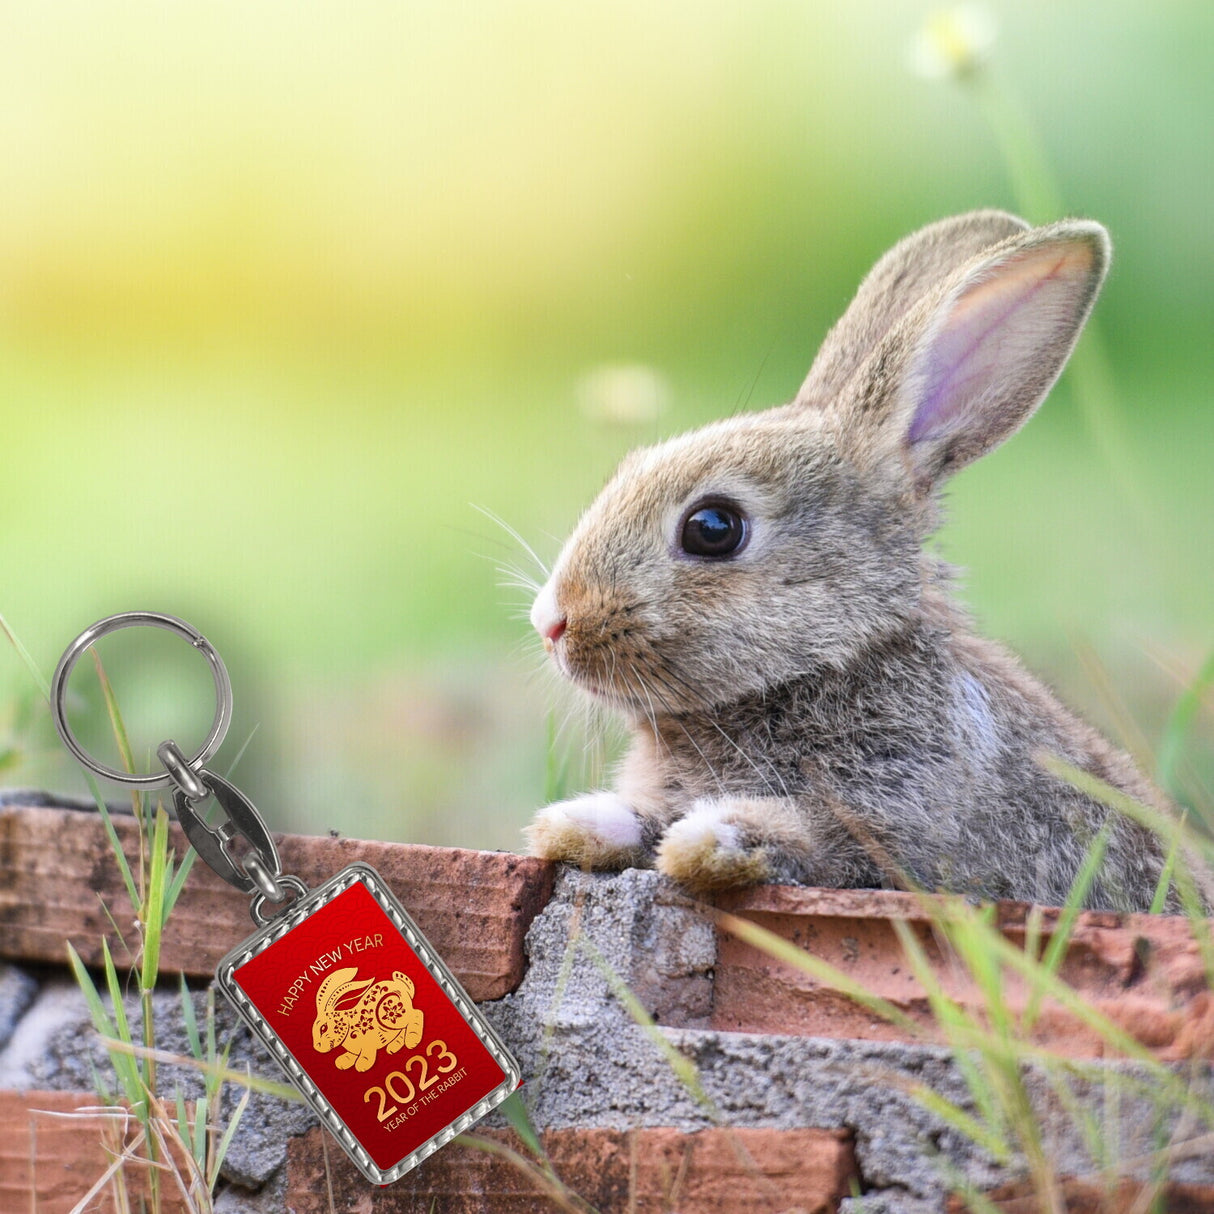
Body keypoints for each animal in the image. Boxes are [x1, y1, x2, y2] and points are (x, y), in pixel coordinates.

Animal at [524, 209, 1179, 913]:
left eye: (713, 528)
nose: (551, 622)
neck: (828, 664)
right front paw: (576, 823)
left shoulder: (899, 827)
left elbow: (815, 841)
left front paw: (711, 839)